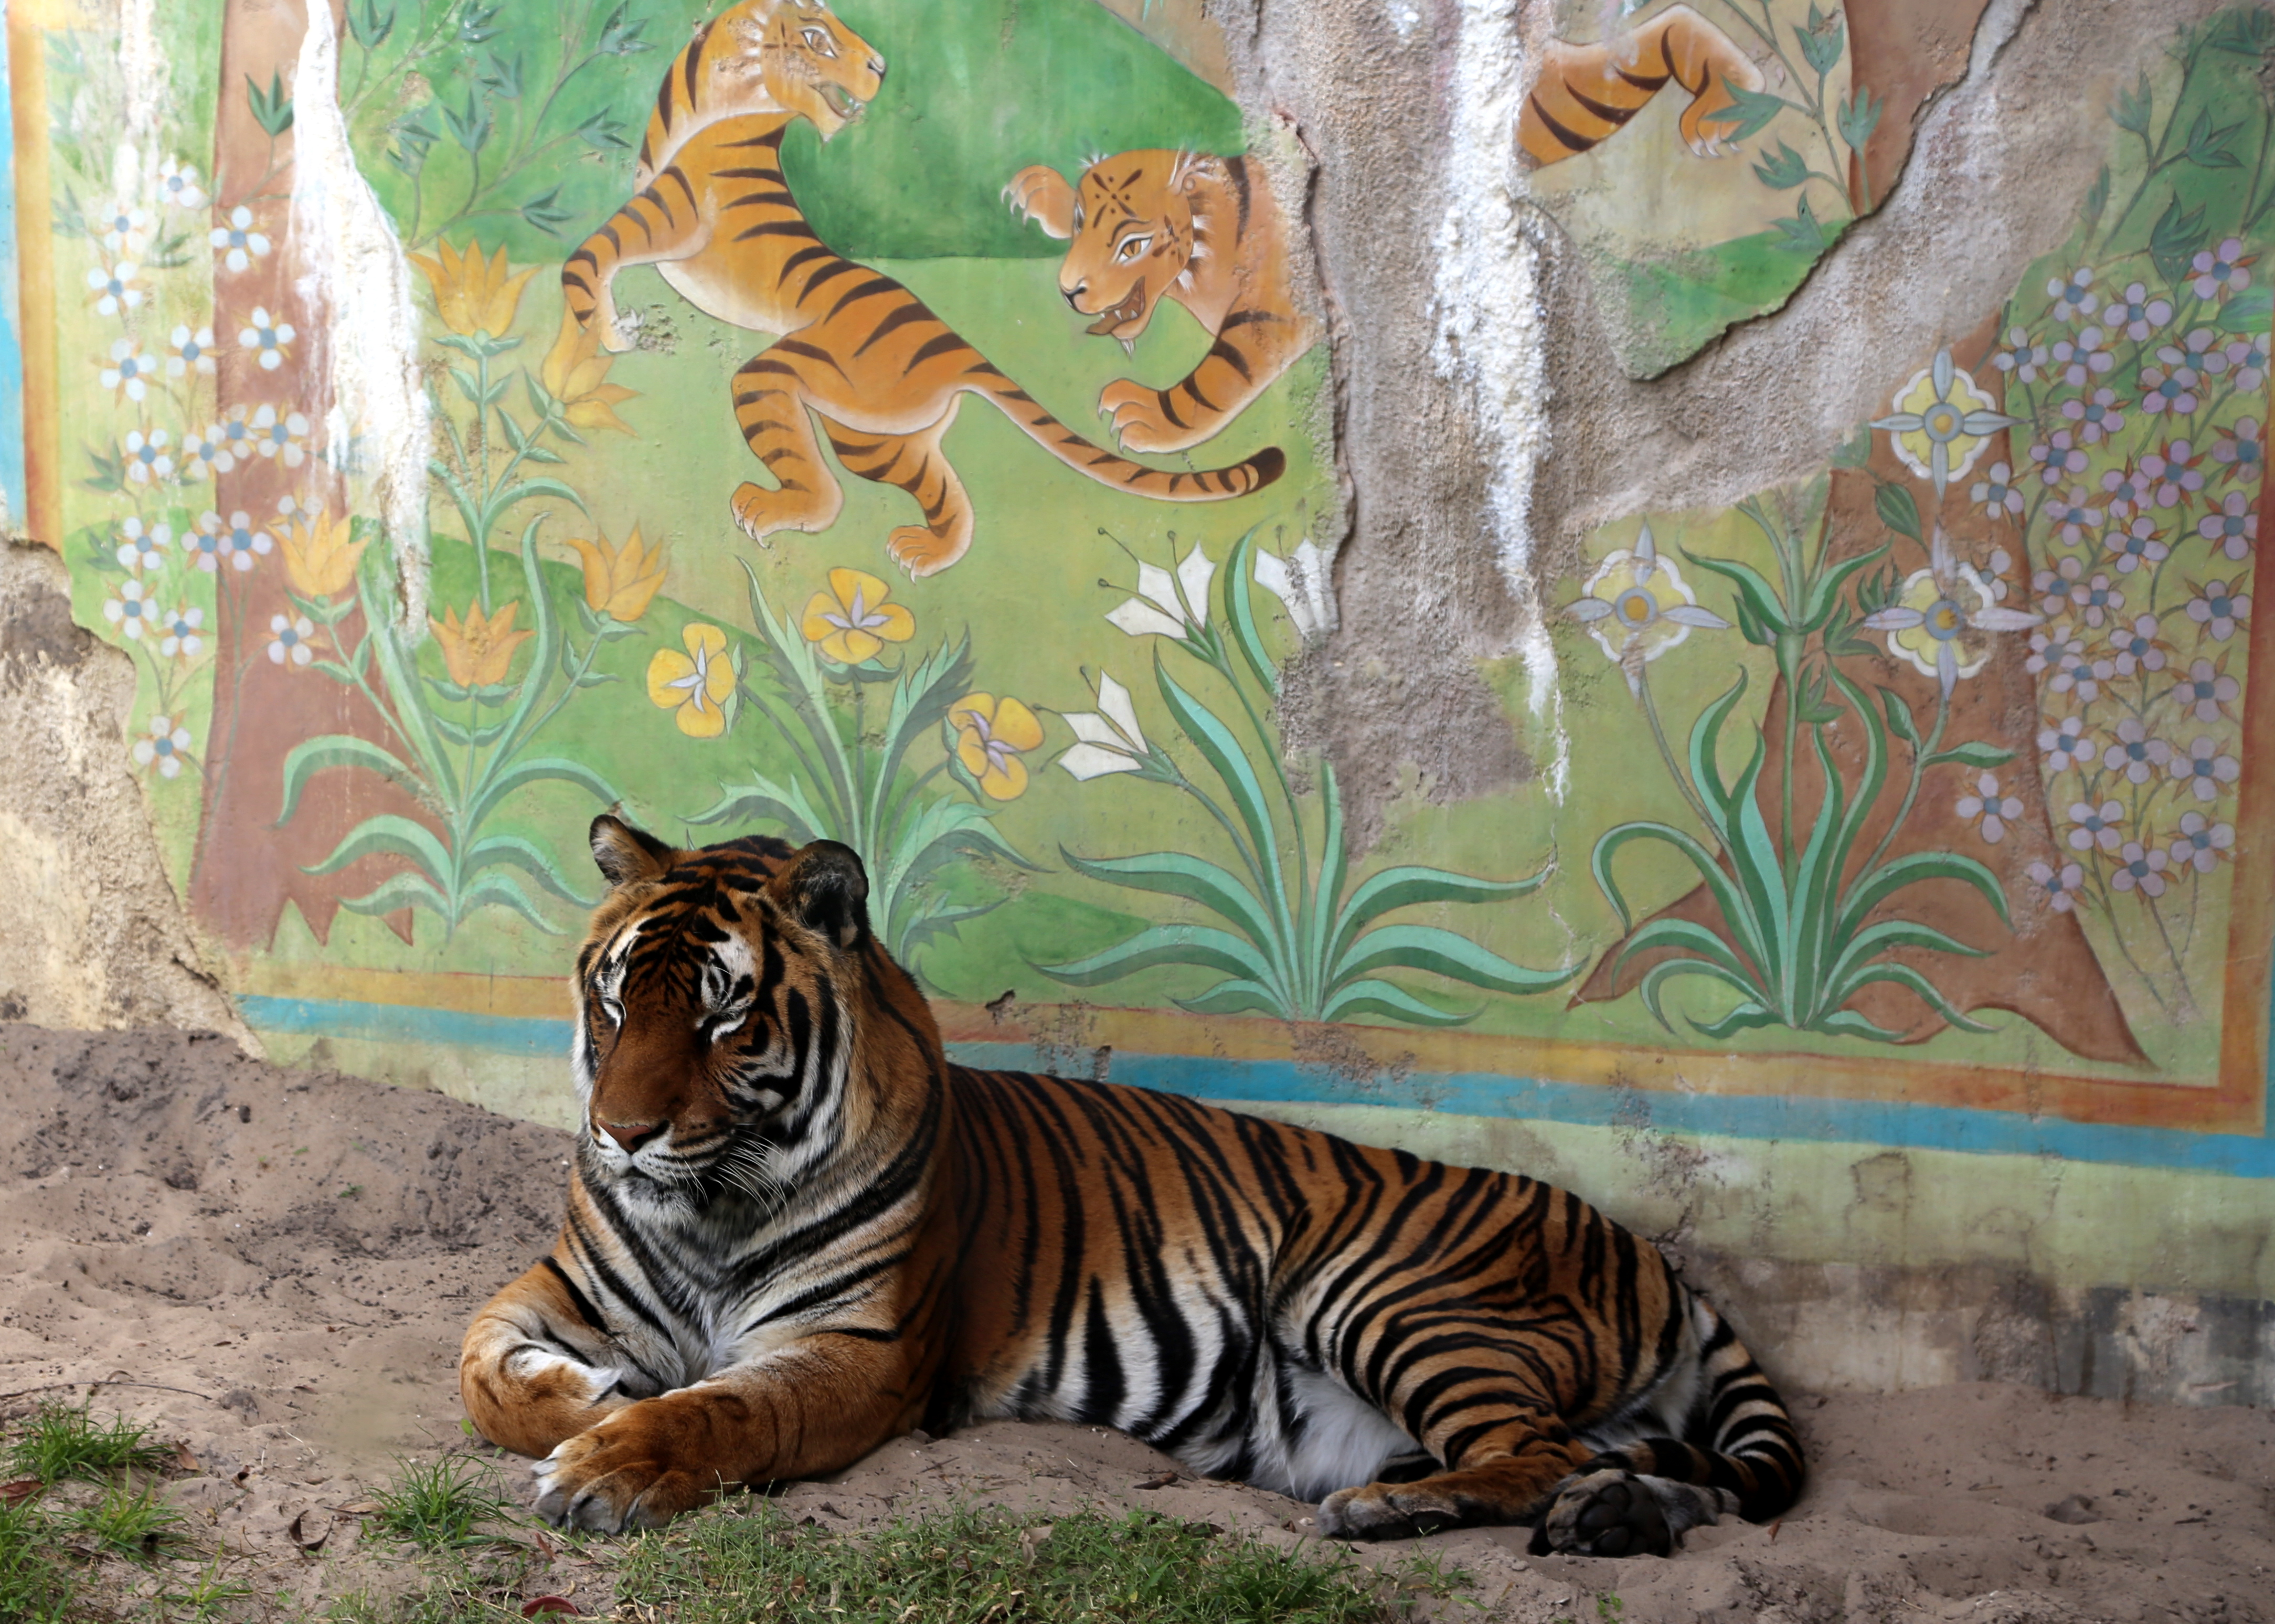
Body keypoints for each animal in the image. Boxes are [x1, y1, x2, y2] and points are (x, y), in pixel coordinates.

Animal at [460, 815, 1807, 1554]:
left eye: (724, 1016)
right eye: (616, 999)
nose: (621, 1132)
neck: (709, 1203)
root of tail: (1653, 1256)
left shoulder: (858, 1351)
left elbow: (725, 1411)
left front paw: (605, 1465)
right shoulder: (564, 1284)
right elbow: (482, 1368)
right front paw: (579, 1397)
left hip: (1384, 1293)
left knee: (1533, 1448)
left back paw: (1390, 1512)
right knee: (1629, 1466)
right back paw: (1606, 1517)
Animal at [558, 0, 1285, 579]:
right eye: (817, 38)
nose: (881, 67)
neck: (715, 102)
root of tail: (959, 346)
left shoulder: (664, 217)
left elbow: (583, 261)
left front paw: (599, 336)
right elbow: (590, 264)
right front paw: (600, 339)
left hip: (794, 377)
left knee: (826, 494)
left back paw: (769, 507)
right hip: (874, 435)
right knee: (945, 493)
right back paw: (928, 554)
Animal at [1002, 149, 1318, 455]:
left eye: (1132, 247)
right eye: (1080, 223)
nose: (1068, 291)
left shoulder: (1272, 309)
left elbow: (1217, 379)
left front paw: (1147, 415)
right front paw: (1043, 190)